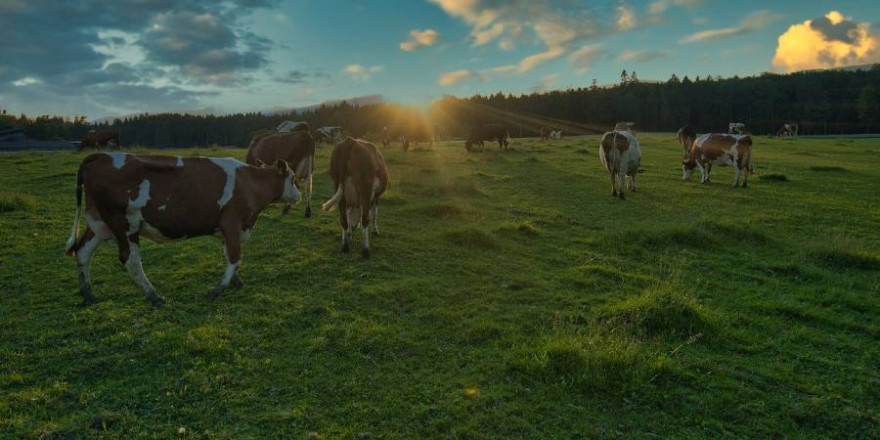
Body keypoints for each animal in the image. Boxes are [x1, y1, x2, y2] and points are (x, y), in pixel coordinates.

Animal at [63, 151, 300, 306]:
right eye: (294, 179)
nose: (298, 195)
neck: (251, 182)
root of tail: (101, 155)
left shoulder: (227, 229)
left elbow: (228, 255)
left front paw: (236, 281)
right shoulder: (231, 223)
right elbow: (234, 258)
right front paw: (218, 289)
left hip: (99, 222)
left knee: (82, 252)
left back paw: (88, 294)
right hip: (125, 225)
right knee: (131, 261)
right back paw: (154, 296)